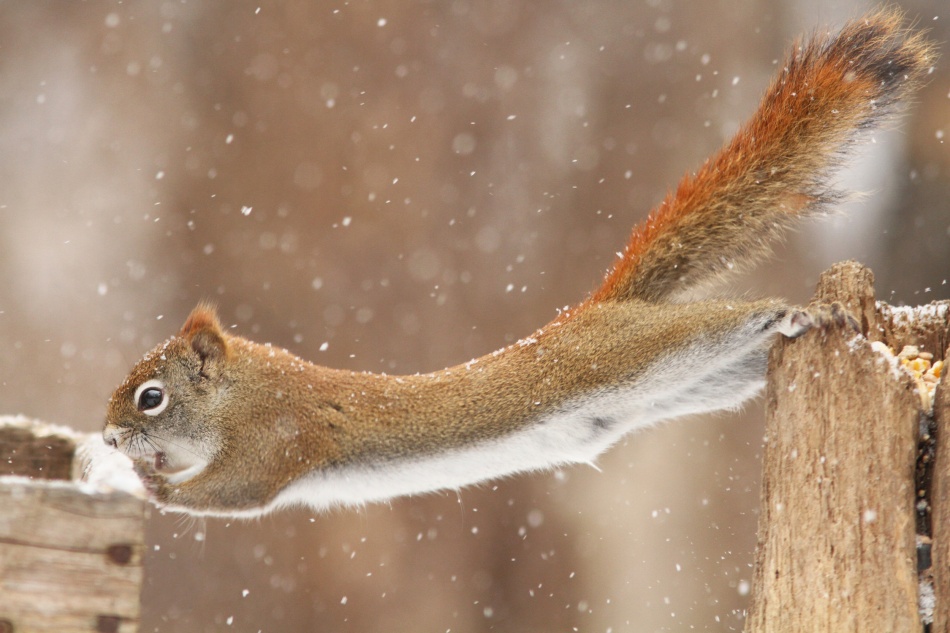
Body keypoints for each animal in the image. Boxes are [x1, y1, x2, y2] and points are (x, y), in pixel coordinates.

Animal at [106, 8, 936, 512]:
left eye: (150, 396)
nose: (111, 437)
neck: (240, 393)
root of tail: (599, 308)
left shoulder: (276, 438)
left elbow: (232, 493)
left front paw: (146, 484)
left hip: (646, 349)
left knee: (735, 317)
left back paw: (802, 308)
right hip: (692, 382)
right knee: (740, 359)